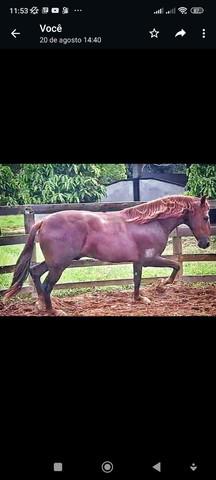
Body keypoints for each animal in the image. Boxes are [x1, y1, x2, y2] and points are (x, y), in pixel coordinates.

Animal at [3, 195, 210, 316]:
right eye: (206, 216)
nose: (205, 244)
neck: (151, 223)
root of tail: (44, 221)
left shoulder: (138, 262)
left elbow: (137, 280)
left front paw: (139, 299)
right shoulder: (150, 259)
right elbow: (175, 265)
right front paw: (163, 284)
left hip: (54, 263)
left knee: (35, 271)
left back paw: (41, 305)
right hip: (59, 265)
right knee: (47, 285)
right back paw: (53, 309)